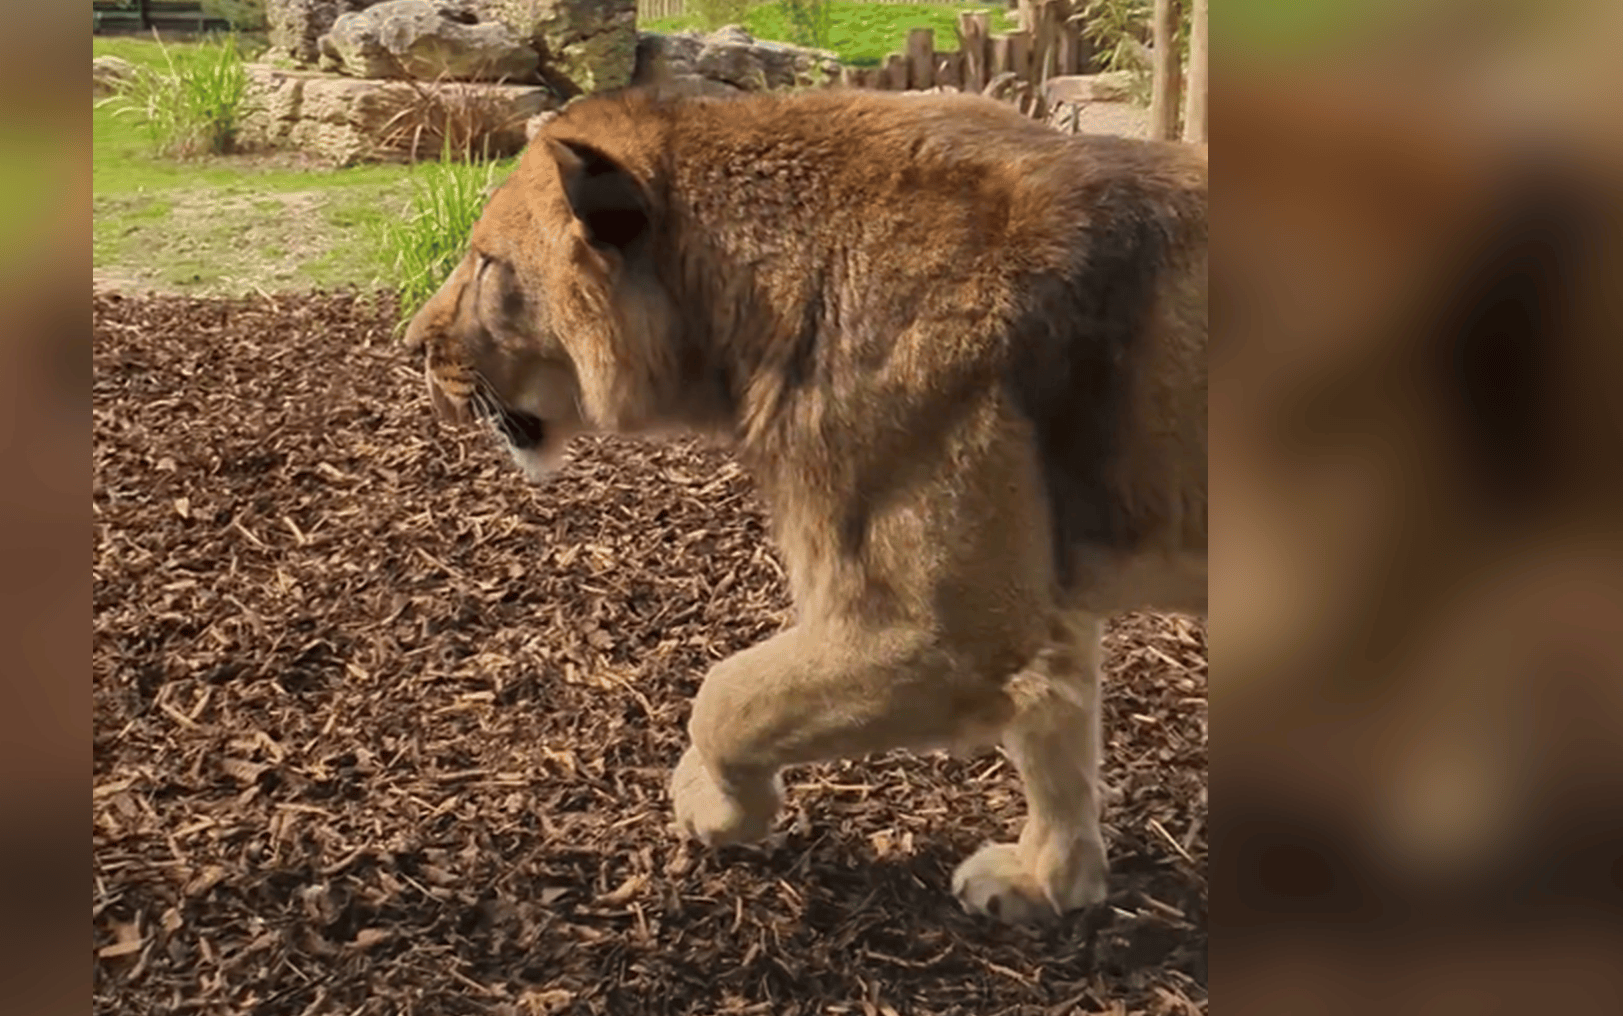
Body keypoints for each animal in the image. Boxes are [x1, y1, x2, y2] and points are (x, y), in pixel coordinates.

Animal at [402, 86, 1207, 921]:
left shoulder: (947, 632)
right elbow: (1055, 735)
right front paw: (1048, 882)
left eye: (487, 264)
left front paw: (709, 804)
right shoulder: (1040, 603)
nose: (408, 345)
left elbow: (727, 698)